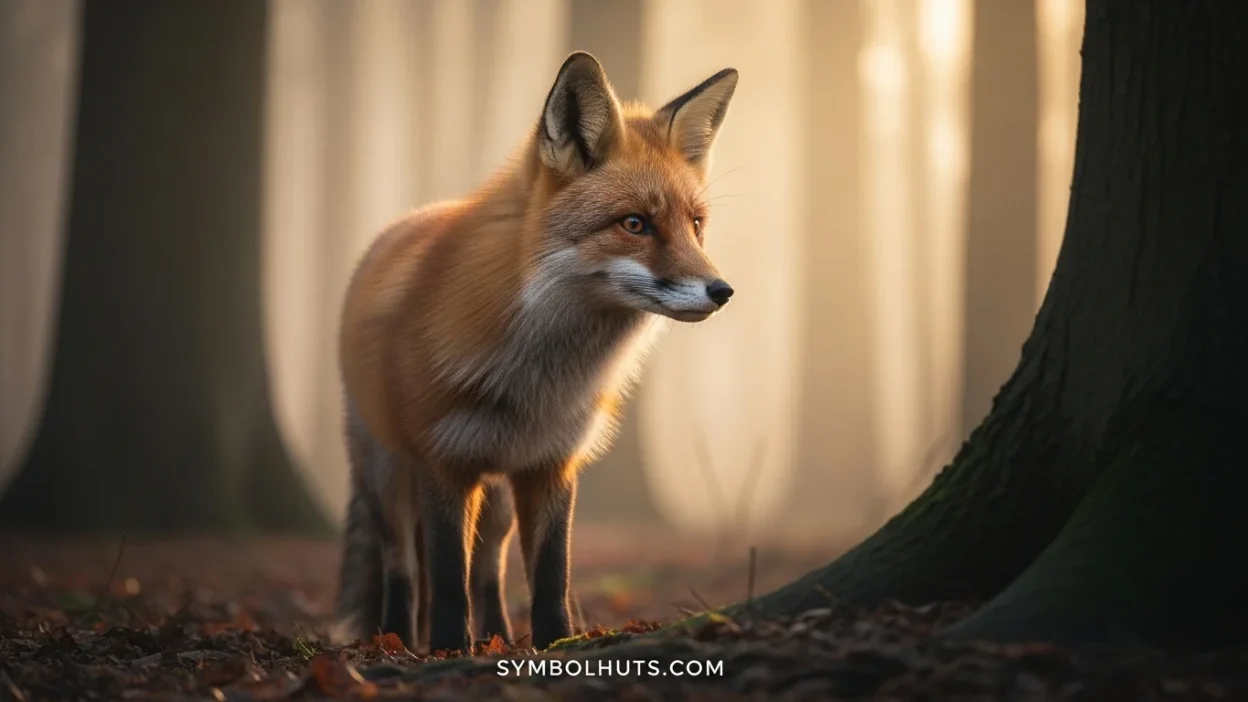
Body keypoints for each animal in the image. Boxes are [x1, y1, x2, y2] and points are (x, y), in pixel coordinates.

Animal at [331, 51, 739, 654]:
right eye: (634, 224)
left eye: (695, 226)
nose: (723, 291)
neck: (536, 378)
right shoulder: (443, 464)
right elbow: (447, 580)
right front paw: (450, 649)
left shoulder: (550, 464)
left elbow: (550, 576)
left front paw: (556, 646)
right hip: (388, 475)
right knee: (403, 565)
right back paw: (398, 640)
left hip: (497, 498)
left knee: (489, 568)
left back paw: (497, 637)